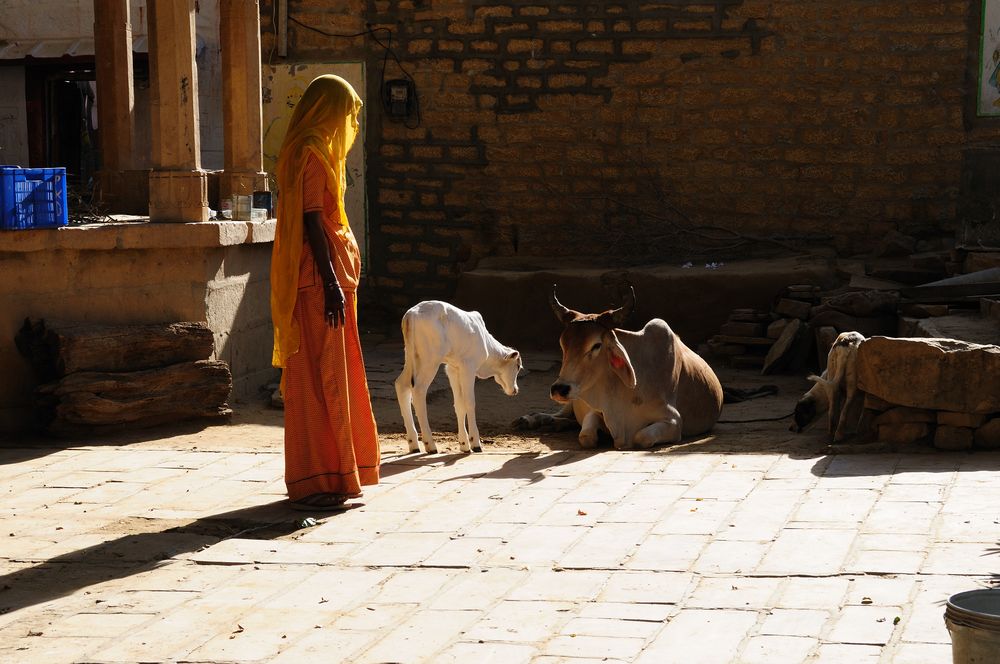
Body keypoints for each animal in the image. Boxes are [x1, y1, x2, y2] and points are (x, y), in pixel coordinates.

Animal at [394, 304, 524, 454]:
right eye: (518, 366)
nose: (515, 390)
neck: (486, 343)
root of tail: (412, 314)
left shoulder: (453, 369)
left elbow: (459, 404)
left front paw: (464, 444)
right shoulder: (468, 368)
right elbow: (470, 402)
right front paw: (475, 443)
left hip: (410, 358)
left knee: (401, 385)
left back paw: (414, 444)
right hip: (430, 360)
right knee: (418, 391)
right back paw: (430, 444)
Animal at [520, 286, 724, 452]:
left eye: (596, 345)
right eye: (563, 344)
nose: (559, 389)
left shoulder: (673, 421)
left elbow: (641, 437)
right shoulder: (596, 409)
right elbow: (586, 436)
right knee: (560, 414)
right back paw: (533, 419)